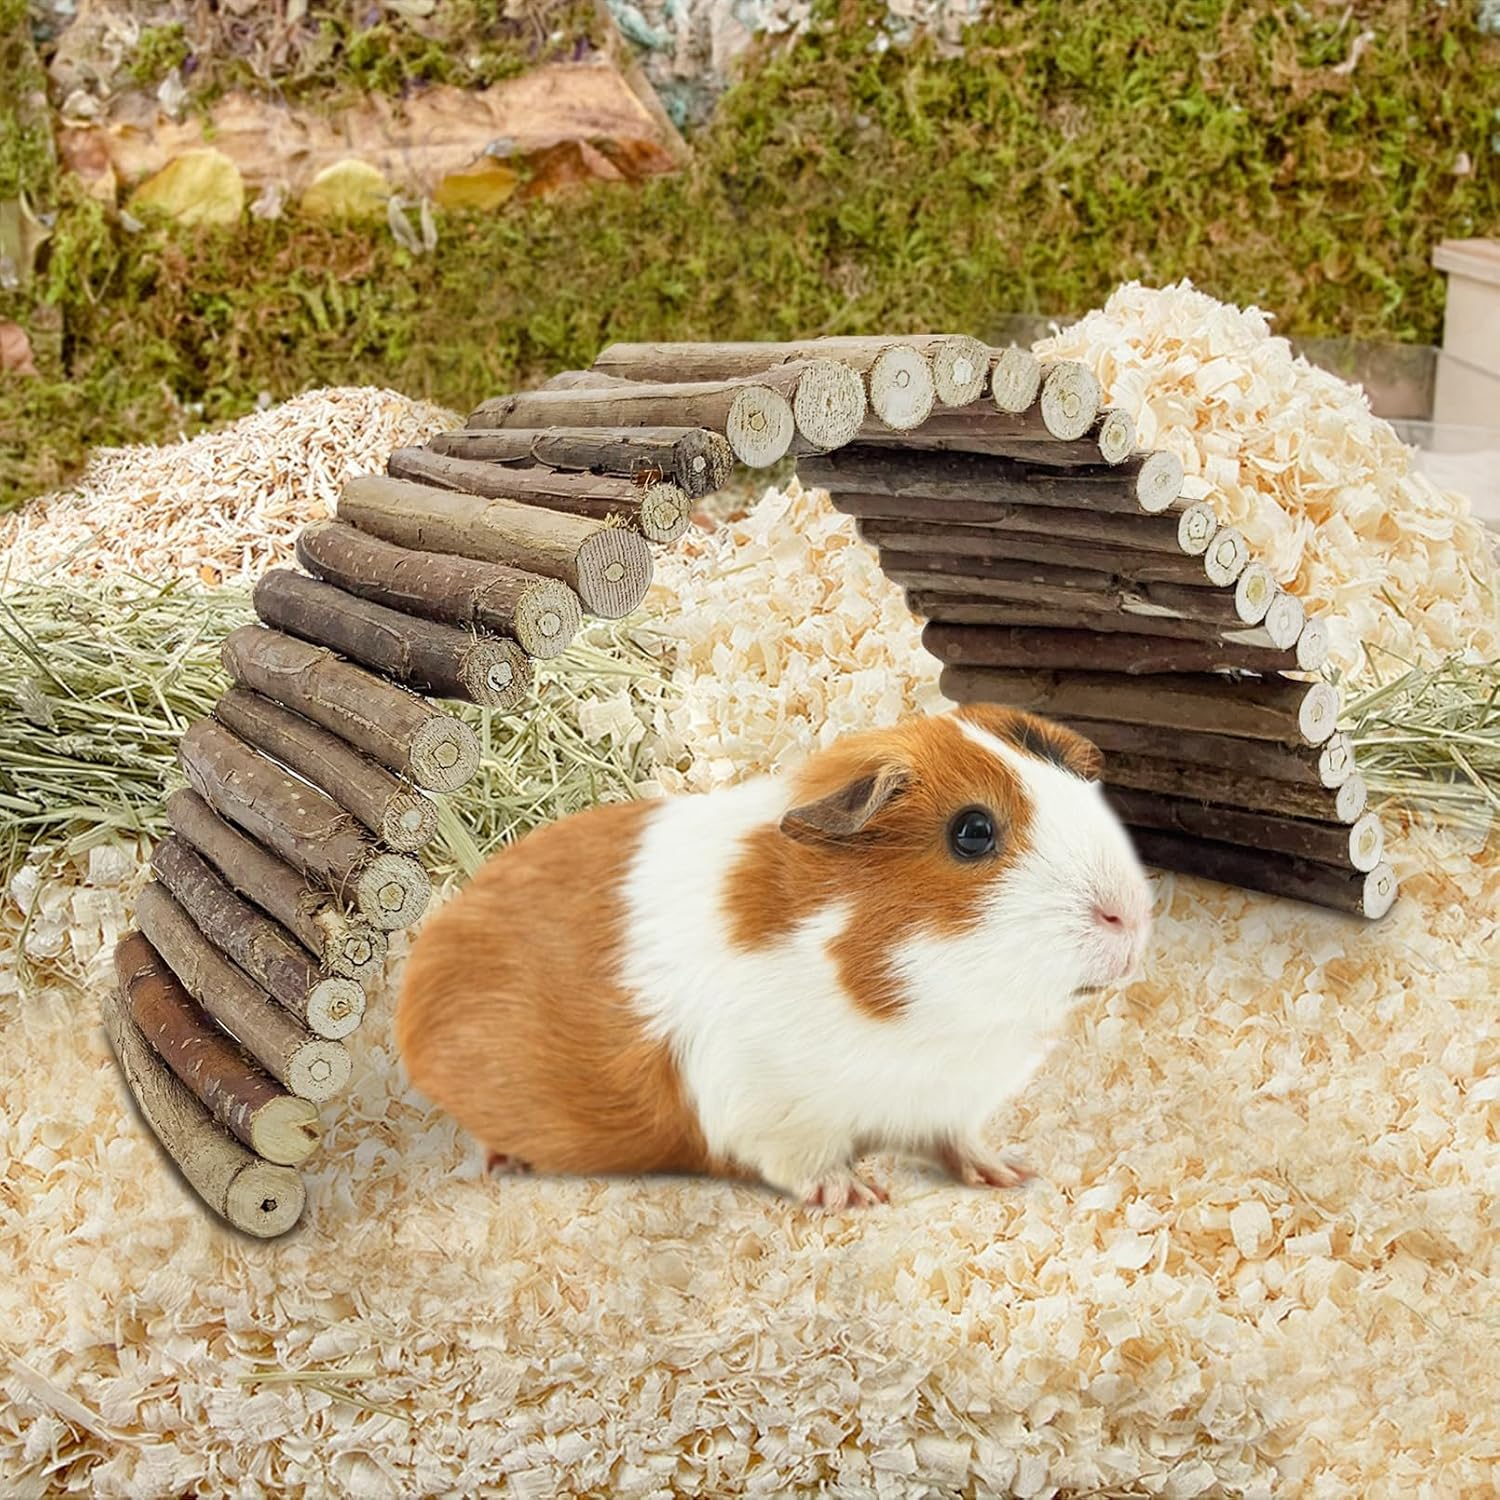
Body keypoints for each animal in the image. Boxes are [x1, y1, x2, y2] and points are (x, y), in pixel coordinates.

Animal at [394, 702, 1152, 1208]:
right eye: (972, 832)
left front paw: (1009, 1173)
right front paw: (856, 1195)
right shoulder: (770, 1108)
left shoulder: (949, 1104)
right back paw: (506, 1164)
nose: (1131, 914)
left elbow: (957, 1141)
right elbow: (804, 1161)